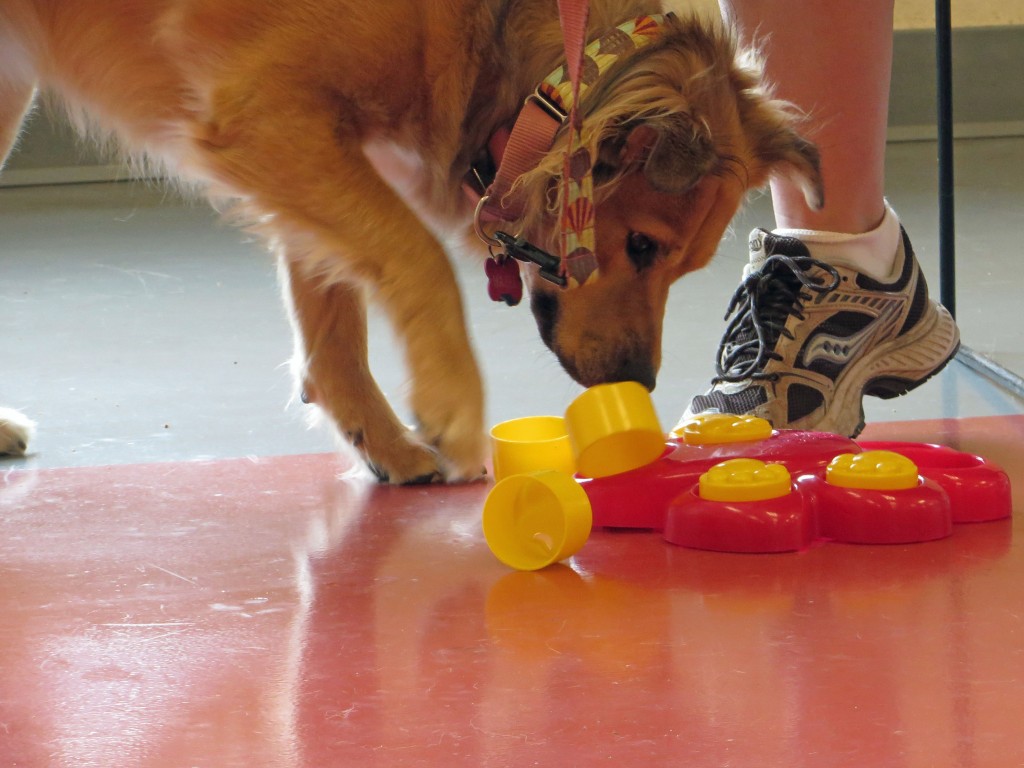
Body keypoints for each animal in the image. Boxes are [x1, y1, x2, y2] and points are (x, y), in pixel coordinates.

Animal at [0, 0, 819, 481]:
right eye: (643, 246)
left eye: (681, 267)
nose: (638, 383)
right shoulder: (269, 110)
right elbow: (415, 255)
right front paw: (451, 402)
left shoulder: (311, 142)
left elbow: (332, 315)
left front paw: (382, 439)